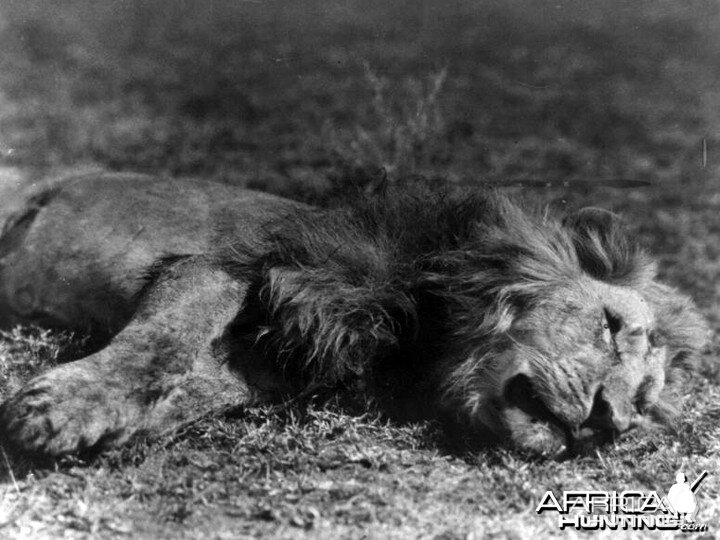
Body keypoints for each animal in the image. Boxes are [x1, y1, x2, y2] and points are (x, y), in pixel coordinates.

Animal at [0, 172, 708, 456]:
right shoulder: (228, 266)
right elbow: (162, 343)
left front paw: (109, 428)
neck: (424, 337)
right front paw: (61, 408)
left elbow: (195, 390)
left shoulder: (283, 358)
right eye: (610, 326)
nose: (607, 425)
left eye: (643, 401)